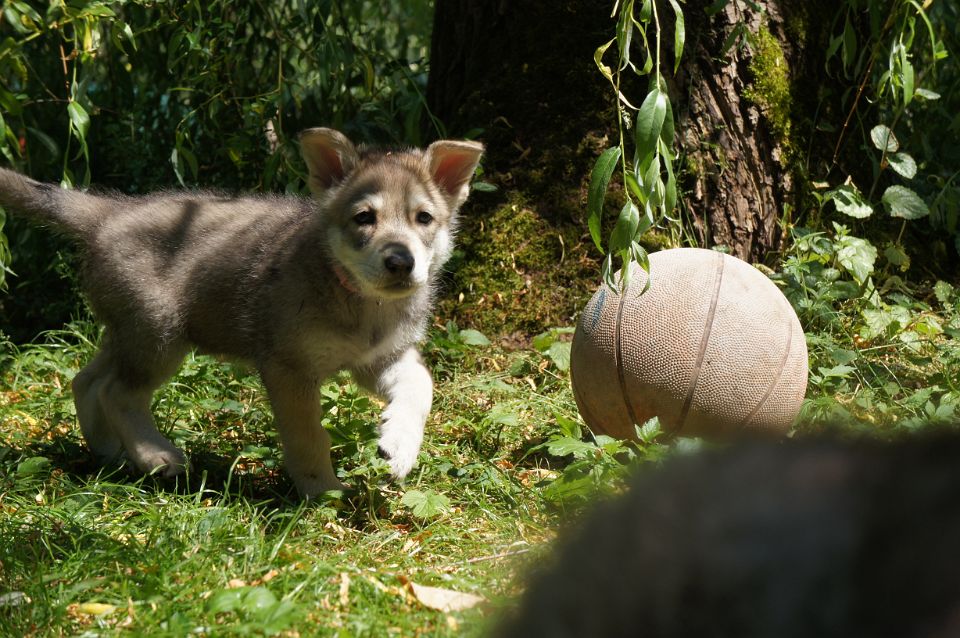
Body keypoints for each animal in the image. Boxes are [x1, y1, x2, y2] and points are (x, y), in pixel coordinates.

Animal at [0, 128, 484, 497]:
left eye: (424, 218)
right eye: (364, 217)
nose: (401, 262)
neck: (361, 303)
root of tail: (109, 213)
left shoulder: (381, 360)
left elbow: (422, 386)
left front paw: (398, 447)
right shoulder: (288, 368)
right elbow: (308, 437)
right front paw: (323, 491)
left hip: (130, 333)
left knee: (86, 381)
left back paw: (108, 452)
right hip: (159, 336)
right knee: (116, 392)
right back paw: (156, 456)